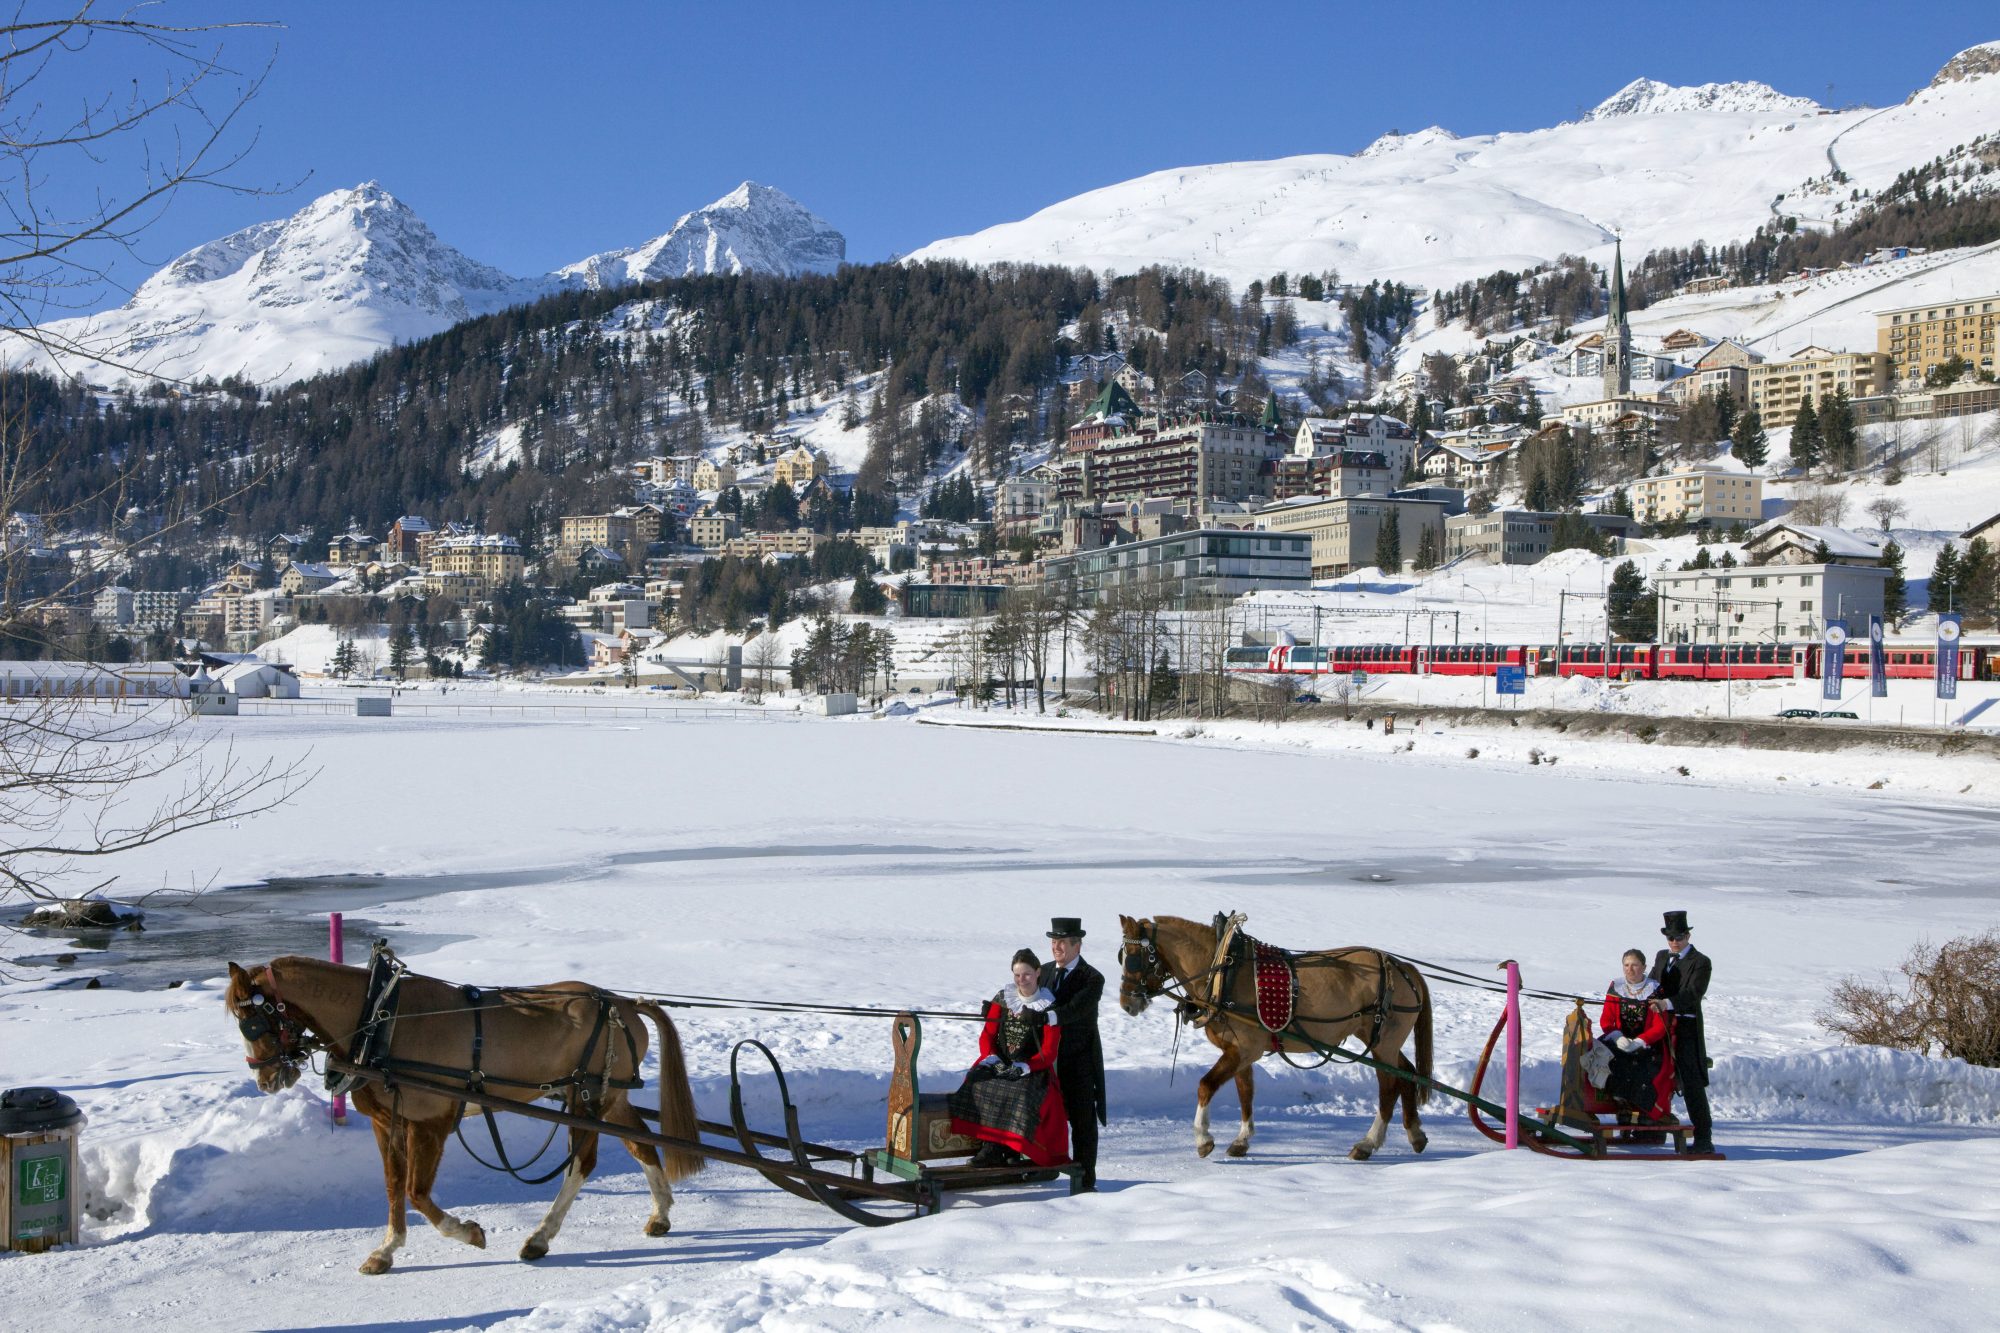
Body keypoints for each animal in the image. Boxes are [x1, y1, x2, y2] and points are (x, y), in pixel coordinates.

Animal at [226, 948, 704, 1272]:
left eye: (252, 1020)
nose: (266, 1080)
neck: (380, 1020)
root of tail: (624, 1004)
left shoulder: (431, 1123)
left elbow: (417, 1193)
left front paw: (469, 1233)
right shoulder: (387, 1122)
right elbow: (393, 1187)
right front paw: (386, 1250)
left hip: (586, 1098)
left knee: (582, 1163)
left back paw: (540, 1237)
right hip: (608, 1097)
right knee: (642, 1144)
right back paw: (661, 1214)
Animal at [1120, 912, 1432, 1152]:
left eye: (1135, 956)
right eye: (1121, 955)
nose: (1126, 1003)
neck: (1222, 971)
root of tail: (1402, 967)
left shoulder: (1245, 1049)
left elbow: (1205, 1085)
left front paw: (1203, 1138)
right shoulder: (1239, 1052)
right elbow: (1245, 1091)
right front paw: (1242, 1140)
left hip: (1384, 1041)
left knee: (1389, 1086)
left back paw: (1368, 1143)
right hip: (1380, 1041)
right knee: (1408, 1074)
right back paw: (1415, 1134)